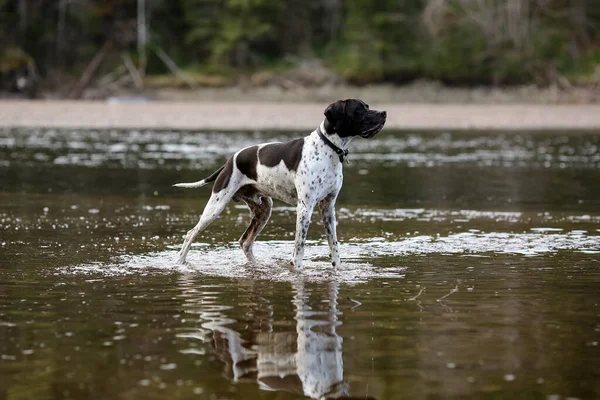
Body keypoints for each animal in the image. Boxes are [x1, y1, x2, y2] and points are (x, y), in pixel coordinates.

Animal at [176, 99, 386, 268]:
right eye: (358, 110)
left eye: (367, 107)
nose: (384, 113)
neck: (329, 149)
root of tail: (230, 161)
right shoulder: (305, 208)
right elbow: (299, 249)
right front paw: (297, 270)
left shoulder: (328, 208)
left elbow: (334, 248)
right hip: (215, 206)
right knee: (191, 233)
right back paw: (179, 263)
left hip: (263, 210)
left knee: (245, 242)